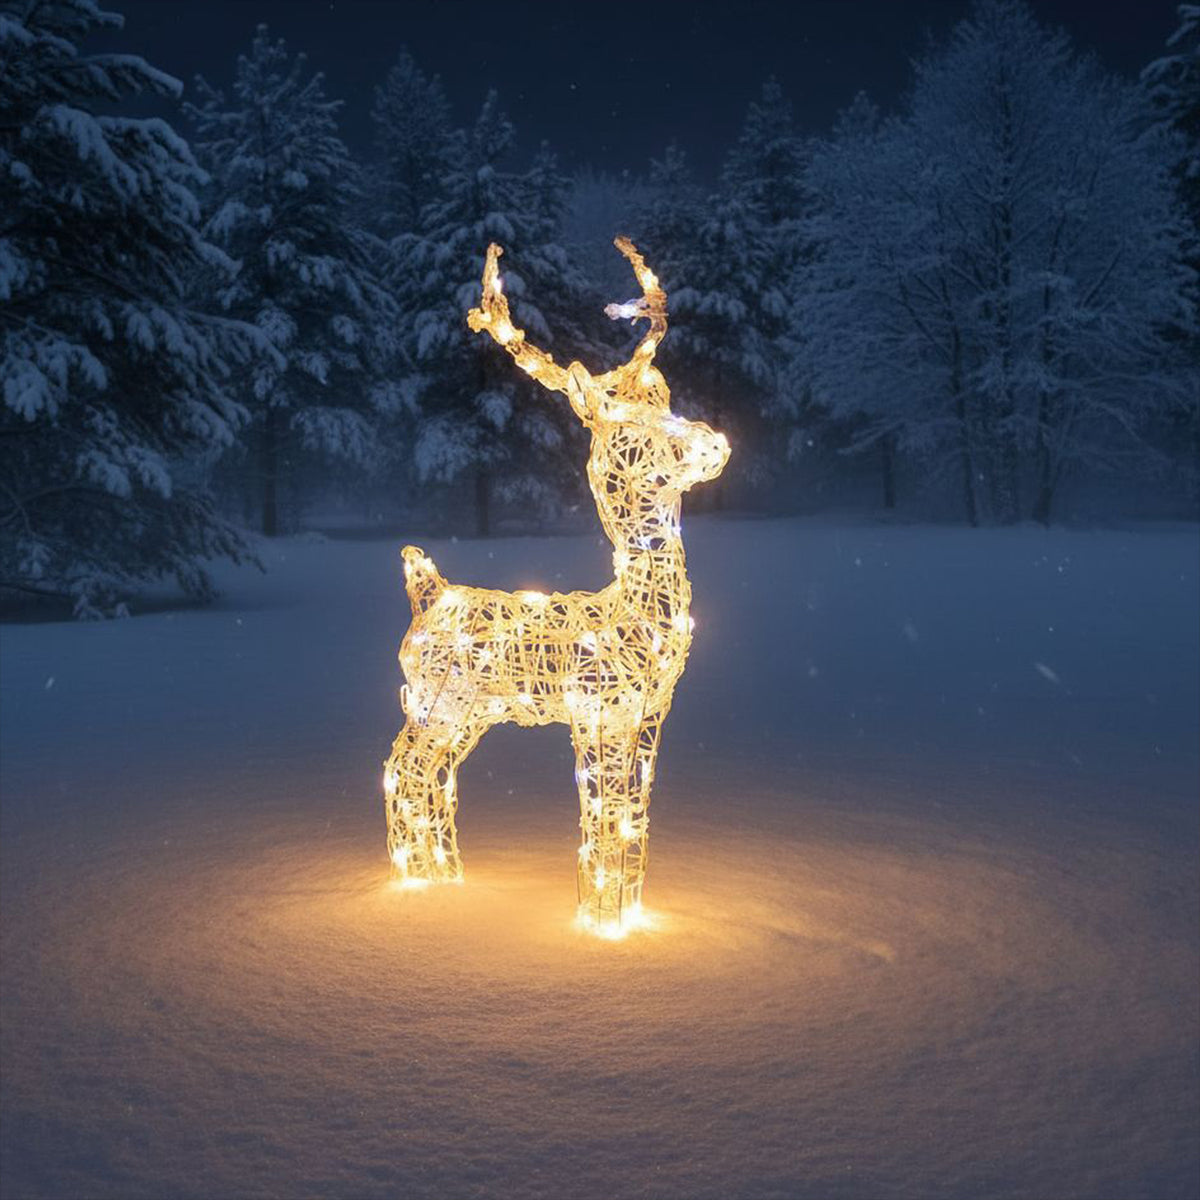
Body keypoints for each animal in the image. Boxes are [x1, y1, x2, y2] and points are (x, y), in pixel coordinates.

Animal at [383, 237, 730, 934]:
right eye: (636, 431)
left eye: (668, 405)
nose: (715, 443)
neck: (637, 619)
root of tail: (426, 589)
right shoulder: (596, 710)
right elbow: (601, 815)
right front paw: (597, 920)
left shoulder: (649, 715)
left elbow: (633, 817)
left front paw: (625, 917)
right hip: (436, 701)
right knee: (402, 771)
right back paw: (422, 888)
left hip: (467, 713)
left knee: (430, 778)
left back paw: (444, 880)